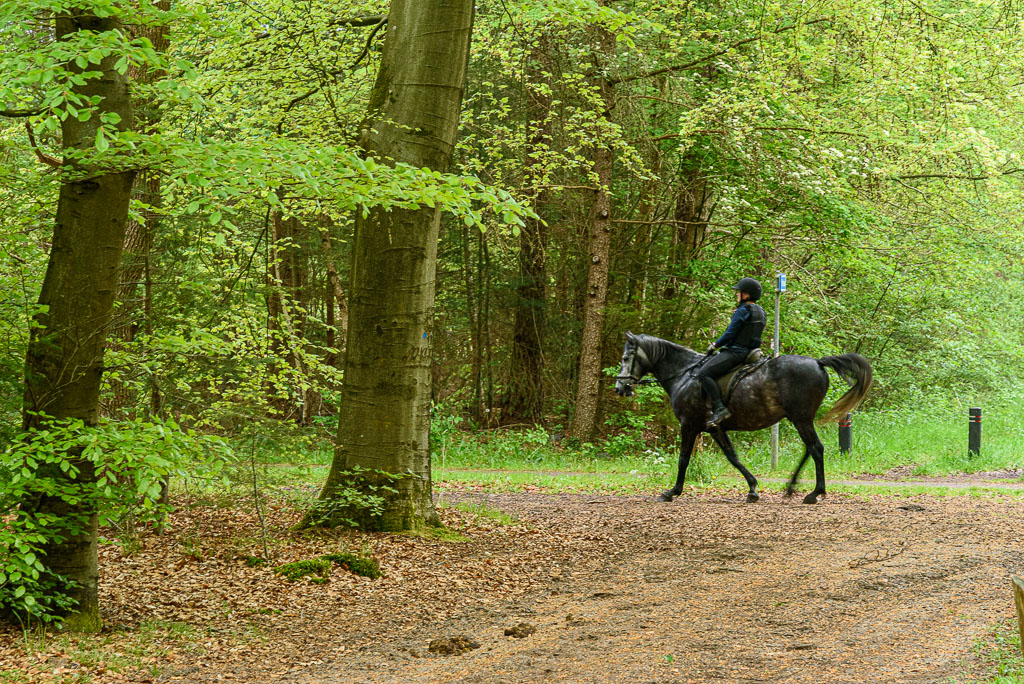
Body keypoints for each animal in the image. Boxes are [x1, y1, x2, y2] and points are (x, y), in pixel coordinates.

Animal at [614, 333, 872, 505]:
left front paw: (672, 492)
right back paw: (791, 487)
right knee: (810, 448)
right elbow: (733, 457)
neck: (685, 374)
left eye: (626, 357)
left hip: (801, 418)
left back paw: (814, 493)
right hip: (800, 419)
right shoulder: (715, 428)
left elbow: (684, 459)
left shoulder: (689, 425)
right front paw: (753, 489)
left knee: (816, 448)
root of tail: (818, 362)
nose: (619, 388)